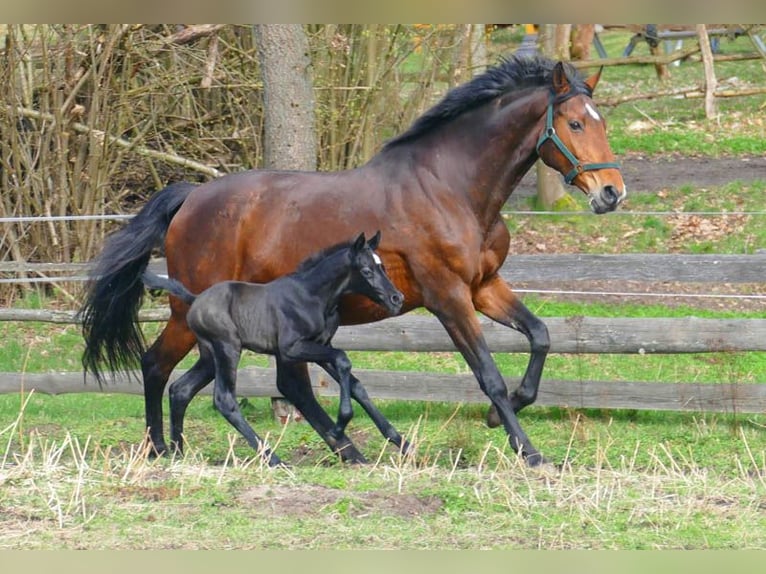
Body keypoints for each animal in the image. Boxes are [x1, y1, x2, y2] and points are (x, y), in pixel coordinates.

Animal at [144, 233, 408, 468]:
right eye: (366, 271)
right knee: (224, 399)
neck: (311, 296)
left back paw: (178, 453)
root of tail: (195, 299)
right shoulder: (291, 349)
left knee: (181, 389)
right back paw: (273, 459)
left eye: (382, 267)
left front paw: (401, 442)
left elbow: (355, 383)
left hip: (210, 358)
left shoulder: (322, 346)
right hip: (228, 349)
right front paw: (338, 426)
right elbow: (343, 359)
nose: (397, 298)